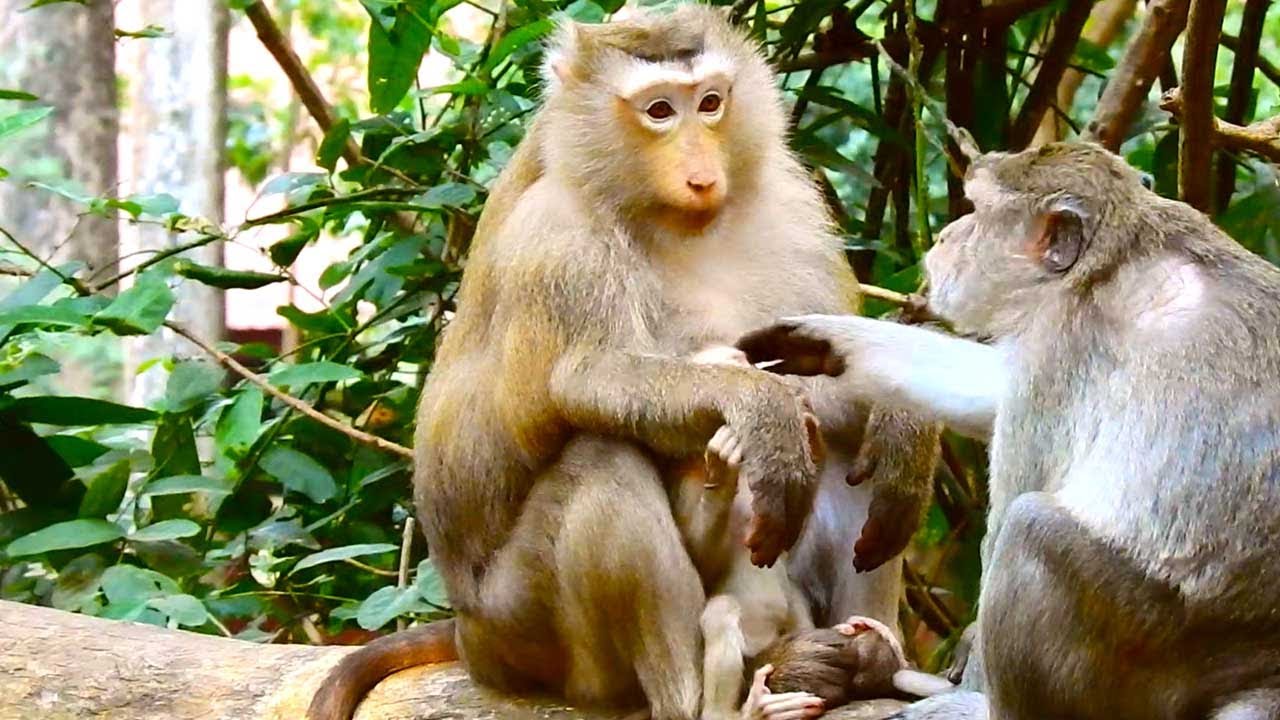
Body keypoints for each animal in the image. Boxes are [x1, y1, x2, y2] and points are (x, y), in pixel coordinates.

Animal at [307, 7, 938, 720]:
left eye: (711, 102)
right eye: (659, 110)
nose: (703, 176)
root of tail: (472, 639)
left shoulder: (794, 206)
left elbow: (827, 366)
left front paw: (904, 427)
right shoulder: (558, 242)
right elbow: (589, 380)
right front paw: (759, 409)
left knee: (853, 449)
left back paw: (871, 657)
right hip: (531, 631)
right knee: (602, 458)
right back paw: (704, 699)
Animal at [738, 141, 1280, 719]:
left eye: (976, 208)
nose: (947, 236)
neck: (1109, 256)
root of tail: (1262, 668)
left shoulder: (1059, 345)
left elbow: (1011, 508)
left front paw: (967, 678)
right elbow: (993, 386)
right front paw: (826, 341)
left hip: (1149, 651)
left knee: (1030, 525)